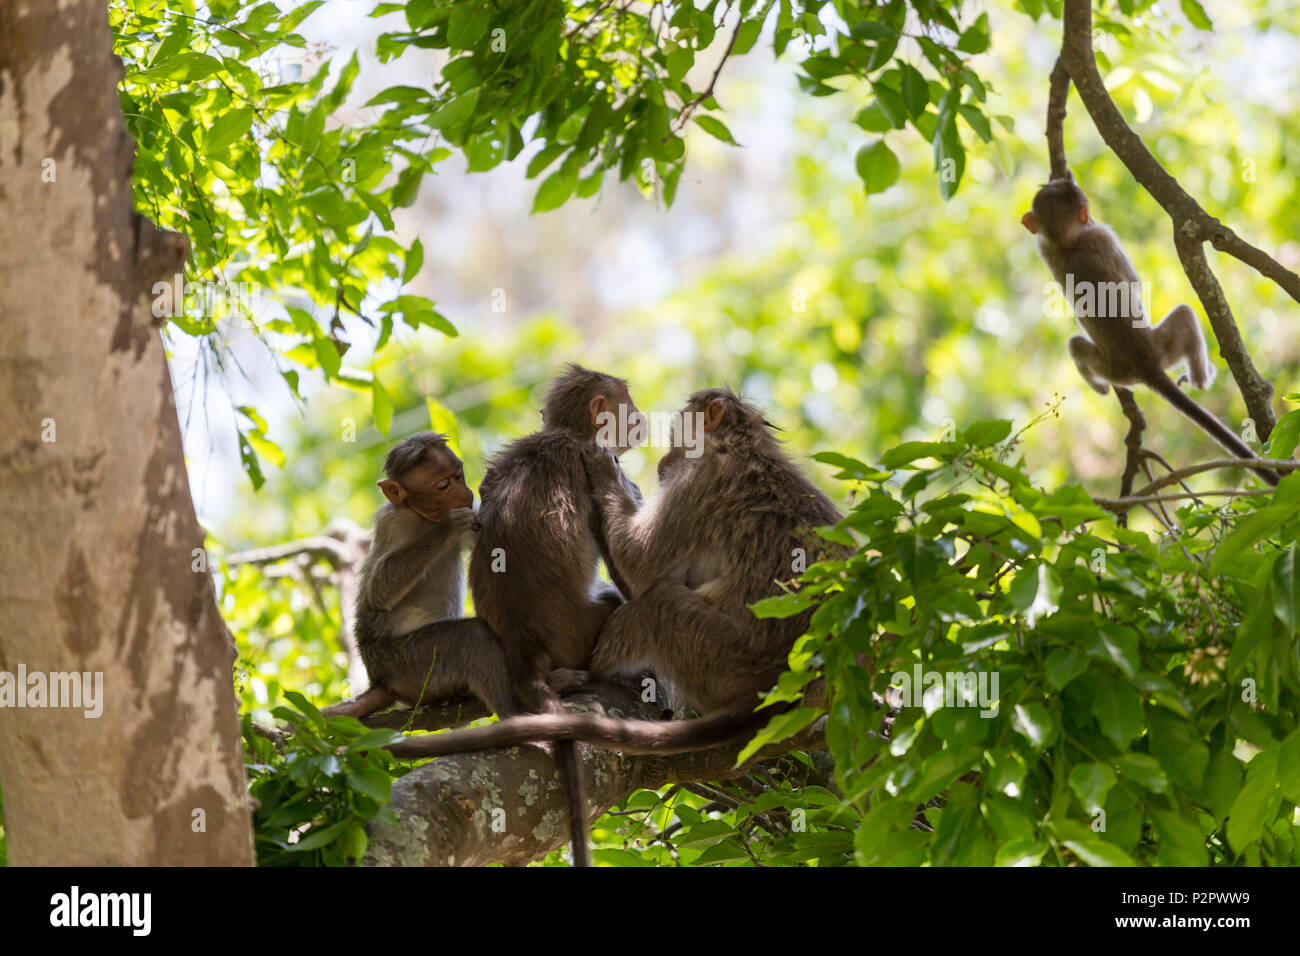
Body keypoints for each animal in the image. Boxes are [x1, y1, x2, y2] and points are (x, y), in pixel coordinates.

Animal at [322, 432, 521, 721]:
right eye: (443, 485)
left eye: (458, 475)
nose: (465, 492)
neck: (422, 515)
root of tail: (380, 680)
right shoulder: (395, 524)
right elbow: (379, 590)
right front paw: (447, 527)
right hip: (409, 665)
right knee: (472, 638)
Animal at [385, 388, 848, 761]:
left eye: (677, 435)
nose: (663, 460)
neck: (741, 445)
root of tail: (777, 687)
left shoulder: (697, 482)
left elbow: (642, 567)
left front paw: (606, 472)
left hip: (719, 657)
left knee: (660, 603)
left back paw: (596, 668)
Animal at [466, 363, 644, 866]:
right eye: (629, 405)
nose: (642, 417)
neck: (567, 434)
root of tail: (520, 642)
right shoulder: (594, 465)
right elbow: (629, 569)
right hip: (585, 633)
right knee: (615, 604)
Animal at [1022, 174, 1279, 485]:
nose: (1066, 178)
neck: (1065, 242)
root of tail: (1146, 369)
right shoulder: (1104, 236)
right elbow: (1134, 280)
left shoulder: (1045, 248)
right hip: (1164, 347)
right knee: (1185, 314)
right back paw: (1201, 378)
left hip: (1114, 369)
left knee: (1076, 345)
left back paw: (1098, 384)